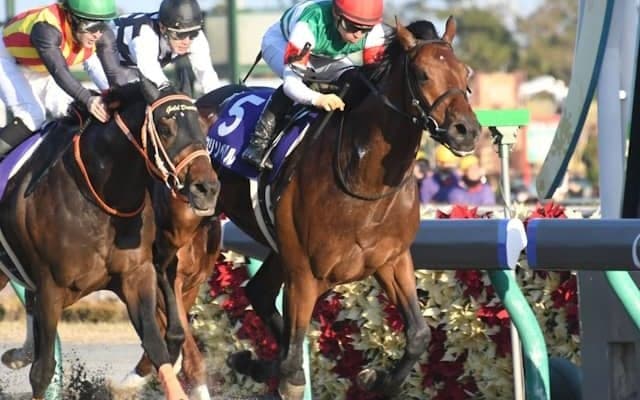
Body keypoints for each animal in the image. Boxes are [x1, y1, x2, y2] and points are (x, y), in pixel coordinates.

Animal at [0, 78, 219, 400]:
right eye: (165, 128)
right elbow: (42, 372)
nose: (207, 188)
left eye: (203, 129)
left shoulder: (137, 275)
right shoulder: (50, 288)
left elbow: (159, 345)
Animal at [189, 17, 480, 398]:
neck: (364, 181)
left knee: (259, 293)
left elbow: (418, 334)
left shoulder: (391, 259)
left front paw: (376, 378)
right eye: (422, 74)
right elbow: (291, 365)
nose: (466, 131)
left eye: (465, 72)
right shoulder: (305, 274)